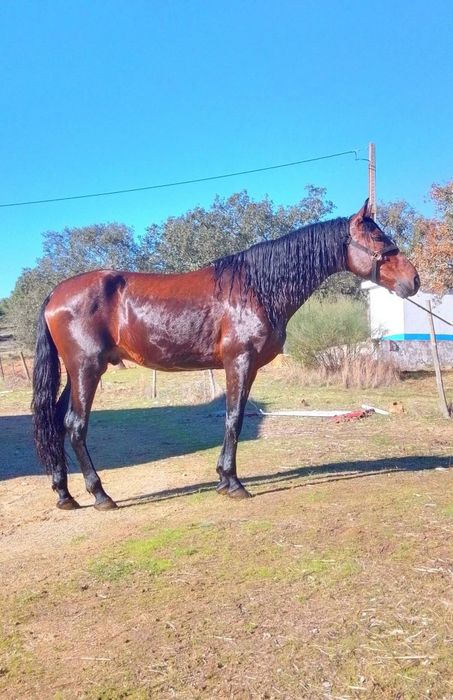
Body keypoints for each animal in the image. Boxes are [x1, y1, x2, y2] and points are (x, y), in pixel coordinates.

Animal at [32, 199, 420, 511]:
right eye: (378, 239)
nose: (413, 280)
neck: (257, 288)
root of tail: (55, 294)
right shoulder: (240, 362)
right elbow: (234, 418)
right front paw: (231, 482)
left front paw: (224, 478)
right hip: (87, 369)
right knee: (75, 425)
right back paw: (100, 495)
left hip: (76, 372)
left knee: (56, 421)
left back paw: (64, 494)